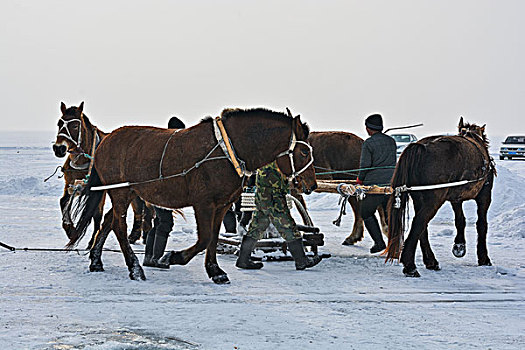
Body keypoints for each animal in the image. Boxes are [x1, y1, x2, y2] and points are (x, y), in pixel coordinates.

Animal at [52, 102, 152, 246]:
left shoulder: (100, 189)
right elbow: (63, 202)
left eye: (75, 125)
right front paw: (70, 229)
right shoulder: (71, 183)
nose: (59, 148)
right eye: (59, 124)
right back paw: (134, 235)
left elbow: (97, 214)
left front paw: (92, 240)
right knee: (138, 205)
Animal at [65, 107, 316, 284]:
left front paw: (215, 270)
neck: (227, 150)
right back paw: (135, 268)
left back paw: (96, 260)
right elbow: (204, 238)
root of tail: (105, 141)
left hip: (127, 191)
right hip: (120, 191)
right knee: (118, 225)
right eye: (304, 151)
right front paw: (173, 257)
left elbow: (213, 237)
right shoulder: (203, 203)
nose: (311, 184)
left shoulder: (222, 205)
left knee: (108, 221)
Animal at [382, 117, 494, 276]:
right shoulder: (484, 195)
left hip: (420, 198)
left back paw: (430, 261)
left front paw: (459, 246)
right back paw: (410, 265)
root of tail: (421, 147)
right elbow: (482, 224)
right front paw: (484, 257)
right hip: (434, 199)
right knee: (419, 223)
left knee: (422, 226)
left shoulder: (456, 198)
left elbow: (460, 220)